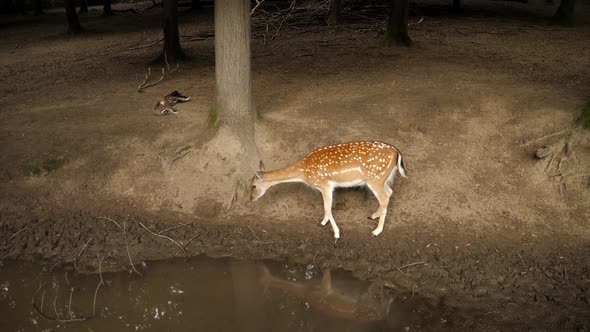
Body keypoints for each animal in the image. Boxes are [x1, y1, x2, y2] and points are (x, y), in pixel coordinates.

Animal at [252, 140, 410, 239]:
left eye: (253, 186)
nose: (251, 199)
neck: (304, 172)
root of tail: (397, 152)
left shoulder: (325, 185)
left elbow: (327, 208)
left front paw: (336, 233)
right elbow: (327, 208)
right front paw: (323, 222)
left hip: (375, 178)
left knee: (384, 197)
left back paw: (376, 231)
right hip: (383, 178)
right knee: (389, 192)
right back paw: (373, 215)